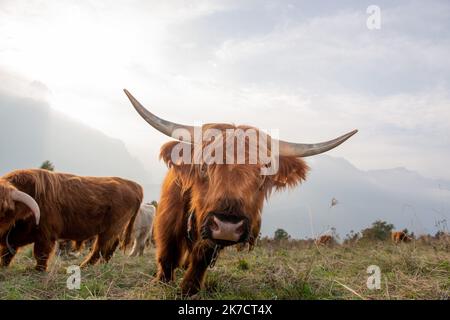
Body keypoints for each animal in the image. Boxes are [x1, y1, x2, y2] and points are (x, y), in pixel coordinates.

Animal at [0, 168, 142, 270]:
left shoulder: (45, 235)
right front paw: (3, 267)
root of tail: (133, 184)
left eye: (5, 210)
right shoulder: (13, 238)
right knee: (111, 246)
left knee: (100, 248)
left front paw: (39, 270)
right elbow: (6, 253)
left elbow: (41, 254)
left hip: (111, 228)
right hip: (116, 229)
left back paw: (83, 267)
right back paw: (103, 265)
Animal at [125, 89, 356, 294]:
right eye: (203, 167)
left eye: (262, 175)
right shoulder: (168, 219)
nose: (227, 226)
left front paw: (189, 289)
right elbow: (168, 253)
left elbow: (201, 257)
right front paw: (161, 283)